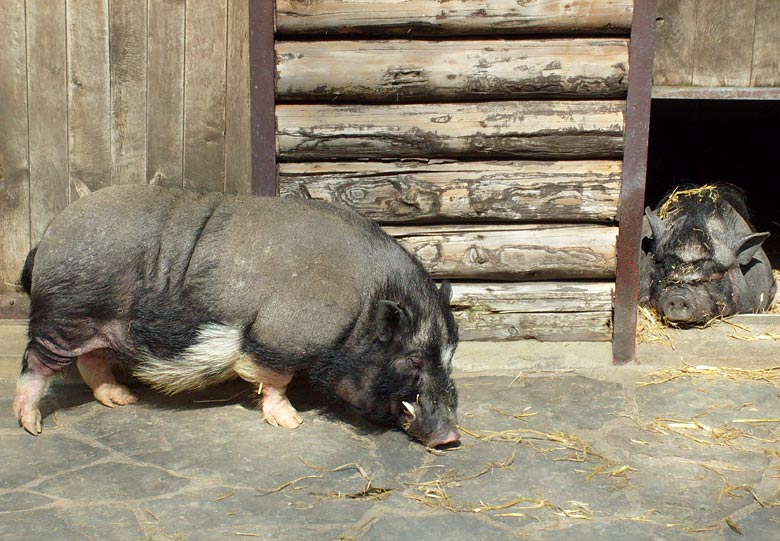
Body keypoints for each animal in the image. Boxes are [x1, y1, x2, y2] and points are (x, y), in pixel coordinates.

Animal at [13, 186, 464, 448]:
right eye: (412, 359)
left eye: (449, 355)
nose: (451, 437)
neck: (360, 308)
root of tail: (47, 236)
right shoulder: (278, 335)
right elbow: (273, 378)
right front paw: (293, 423)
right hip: (64, 316)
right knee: (36, 363)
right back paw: (32, 426)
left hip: (98, 325)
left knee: (92, 361)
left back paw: (123, 399)